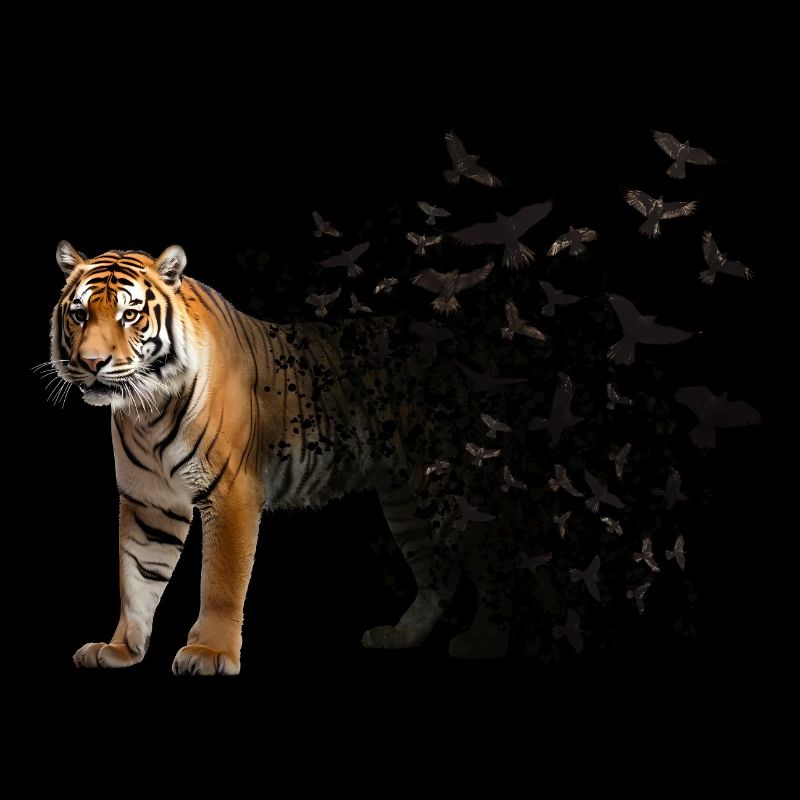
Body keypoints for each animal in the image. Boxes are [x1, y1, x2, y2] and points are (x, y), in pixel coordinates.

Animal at [50, 241, 512, 675]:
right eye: (79, 314)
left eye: (130, 315)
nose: (92, 363)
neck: (146, 409)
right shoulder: (149, 502)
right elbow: (136, 578)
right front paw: (119, 649)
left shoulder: (231, 492)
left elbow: (221, 581)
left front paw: (210, 652)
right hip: (405, 502)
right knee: (440, 575)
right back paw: (401, 636)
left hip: (452, 489)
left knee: (496, 558)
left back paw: (484, 641)